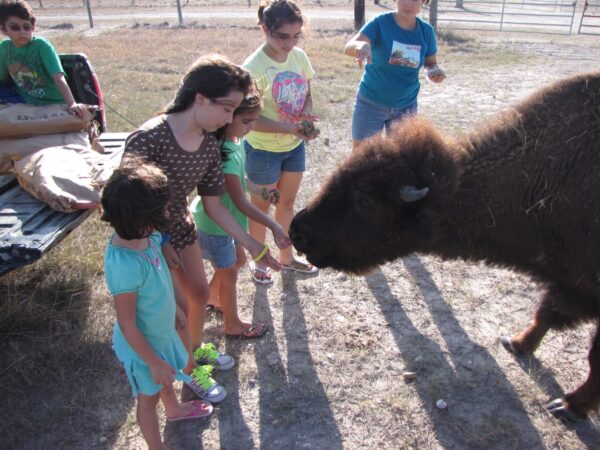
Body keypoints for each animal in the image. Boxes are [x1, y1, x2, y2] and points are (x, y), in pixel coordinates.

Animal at [290, 72, 600, 420]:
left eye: (365, 201)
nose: (297, 231)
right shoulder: (570, 284)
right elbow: (546, 313)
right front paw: (517, 344)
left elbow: (592, 356)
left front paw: (568, 405)